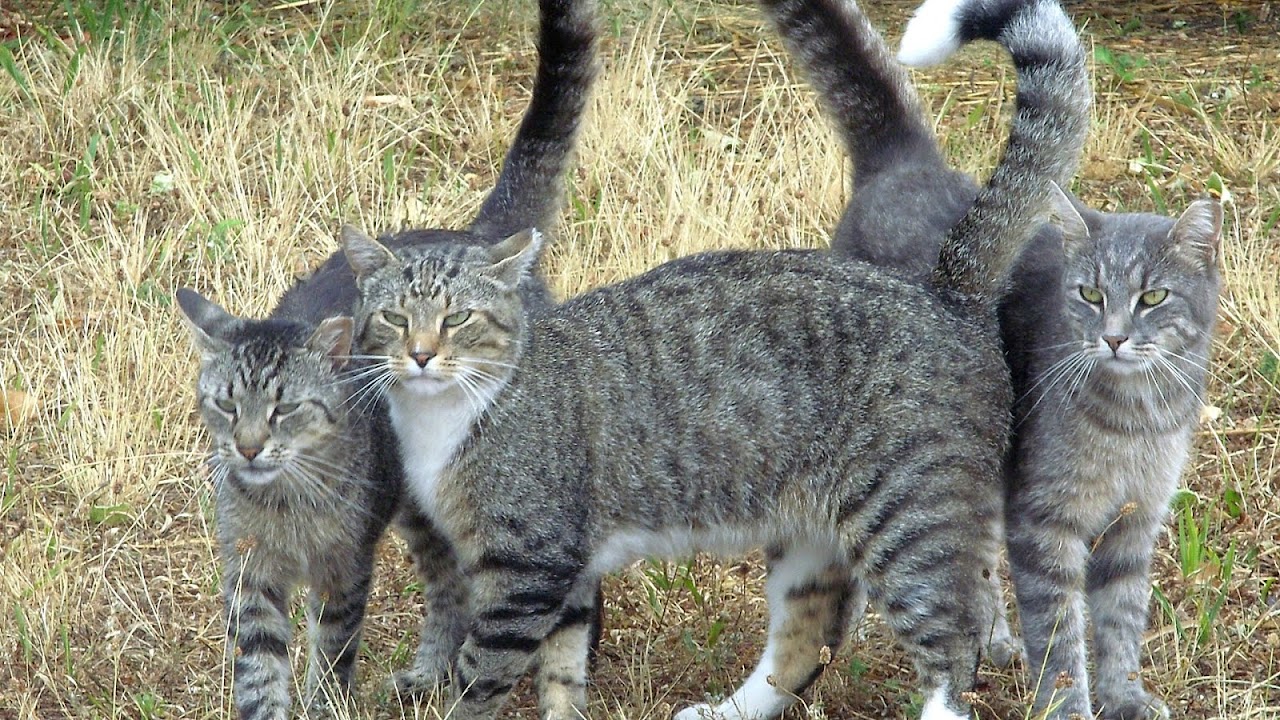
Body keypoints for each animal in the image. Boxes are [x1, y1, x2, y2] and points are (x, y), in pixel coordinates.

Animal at [176, 0, 599, 712]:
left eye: (284, 409)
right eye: (226, 405)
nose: (248, 448)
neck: (285, 503)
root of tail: (476, 240)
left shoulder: (344, 573)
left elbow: (331, 658)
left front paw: (326, 703)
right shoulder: (250, 579)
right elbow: (260, 677)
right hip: (421, 513)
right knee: (450, 584)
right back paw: (430, 672)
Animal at [337, 0, 1090, 712]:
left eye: (457, 318)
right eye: (394, 318)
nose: (421, 355)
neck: (449, 418)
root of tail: (947, 288)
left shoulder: (528, 566)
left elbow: (478, 679)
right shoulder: (569, 573)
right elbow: (563, 670)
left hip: (908, 517)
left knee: (951, 646)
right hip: (811, 534)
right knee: (805, 638)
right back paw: (729, 710)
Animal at [773, 0, 1223, 712]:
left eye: (1153, 296)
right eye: (1089, 293)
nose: (1114, 337)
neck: (1136, 417)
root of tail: (906, 162)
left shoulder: (1134, 525)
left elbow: (1121, 621)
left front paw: (1124, 696)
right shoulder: (1044, 525)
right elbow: (1061, 640)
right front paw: (1070, 708)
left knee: (973, 556)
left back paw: (993, 639)